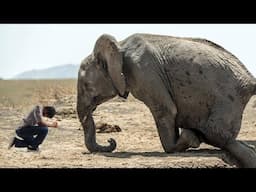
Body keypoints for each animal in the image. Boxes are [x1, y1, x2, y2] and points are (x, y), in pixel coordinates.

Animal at [77, 33, 256, 168]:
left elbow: (165, 110)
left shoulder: (144, 71)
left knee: (214, 132)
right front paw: (191, 137)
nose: (111, 140)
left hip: (227, 100)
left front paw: (189, 139)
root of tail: (249, 80)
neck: (119, 46)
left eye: (86, 86)